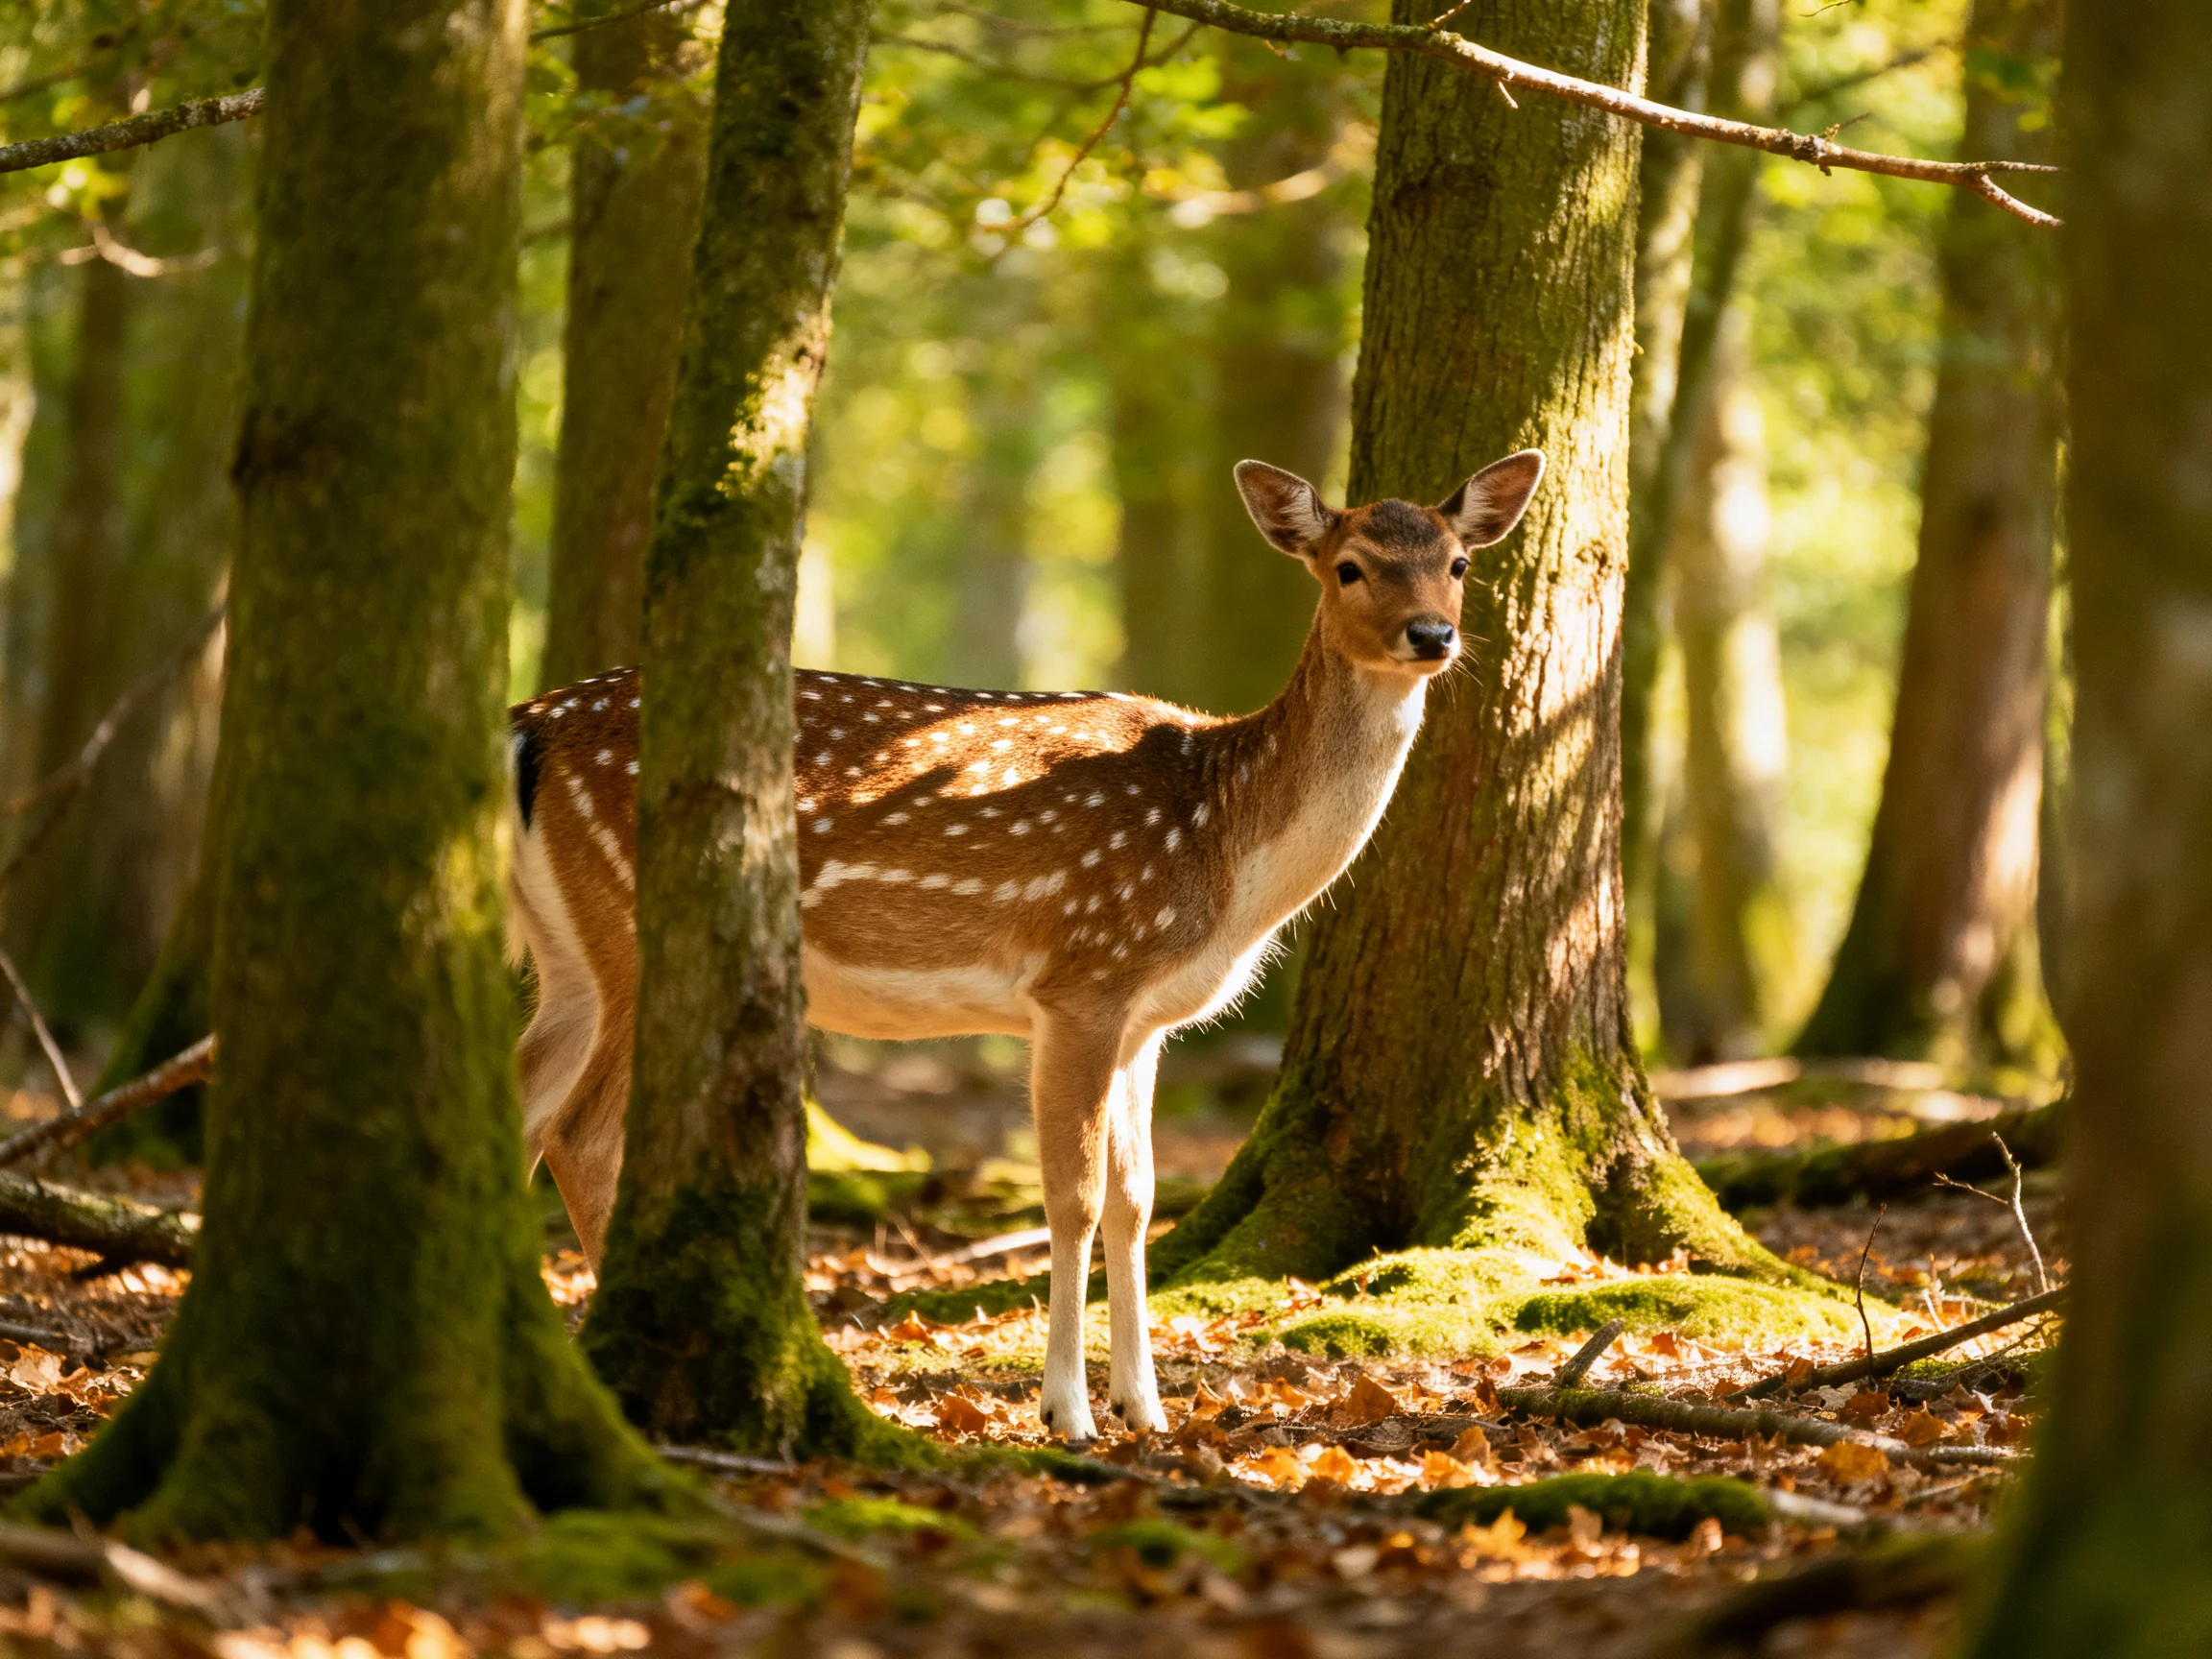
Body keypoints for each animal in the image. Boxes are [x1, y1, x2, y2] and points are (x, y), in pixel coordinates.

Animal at [506, 448, 1545, 1443]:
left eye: (1458, 563)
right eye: (1349, 566)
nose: (1432, 634)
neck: (1226, 850)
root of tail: (525, 726)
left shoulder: (1147, 1020)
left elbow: (1138, 1197)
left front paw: (1146, 1409)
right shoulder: (1083, 975)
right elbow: (1073, 1196)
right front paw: (1068, 1413)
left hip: (569, 957)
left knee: (519, 1095)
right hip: (638, 931)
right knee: (580, 1130)